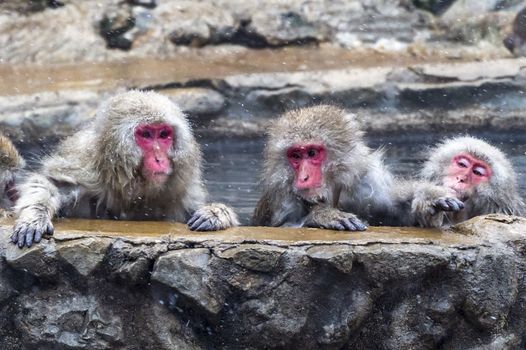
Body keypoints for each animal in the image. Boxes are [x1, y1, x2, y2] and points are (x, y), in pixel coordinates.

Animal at [11, 91, 239, 249]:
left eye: (163, 134)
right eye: (146, 134)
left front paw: (215, 214)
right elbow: (51, 184)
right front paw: (34, 218)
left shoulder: (181, 193)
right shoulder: (85, 169)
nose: (160, 159)